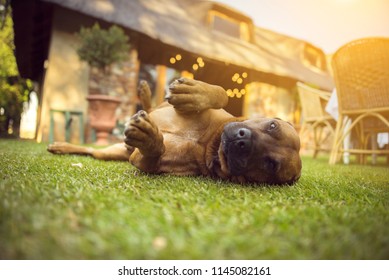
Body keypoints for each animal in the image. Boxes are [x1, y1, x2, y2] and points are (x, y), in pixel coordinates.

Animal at [46, 77, 300, 185]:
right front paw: (195, 93)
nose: (243, 140)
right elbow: (221, 93)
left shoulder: (149, 164)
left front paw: (150, 139)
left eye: (270, 164)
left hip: (111, 154)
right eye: (273, 125)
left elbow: (153, 155)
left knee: (92, 151)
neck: (208, 142)